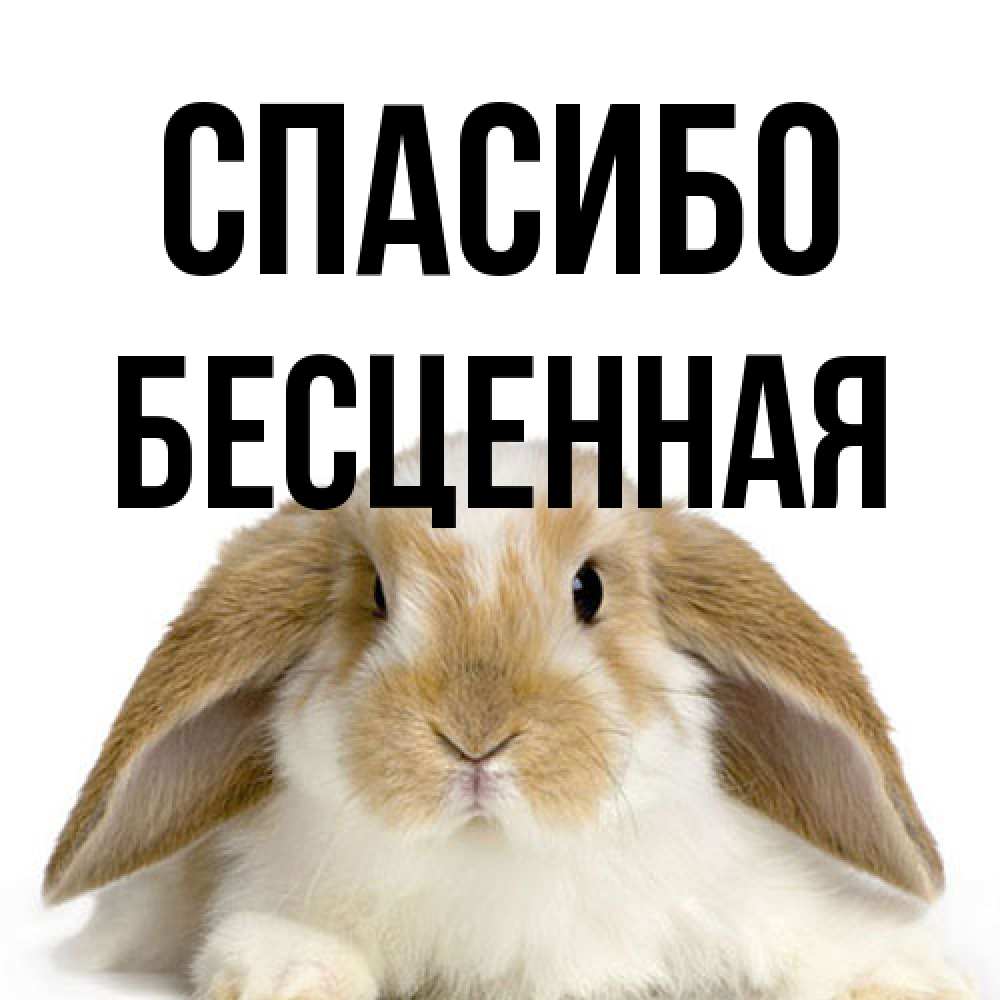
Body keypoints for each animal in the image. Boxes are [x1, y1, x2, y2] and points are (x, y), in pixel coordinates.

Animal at [45, 435, 975, 1000]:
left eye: (589, 589)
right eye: (376, 596)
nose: (475, 737)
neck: (496, 857)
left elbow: (818, 939)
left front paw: (910, 978)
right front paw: (291, 977)